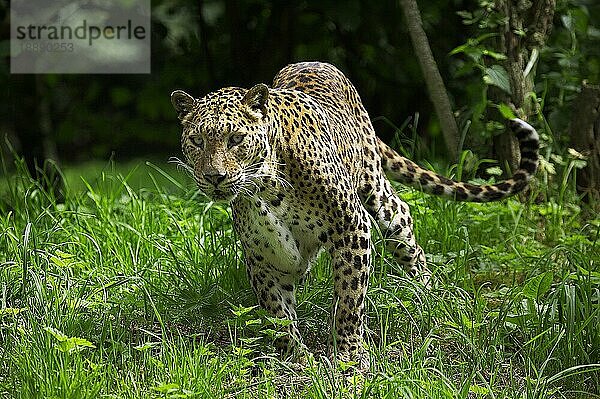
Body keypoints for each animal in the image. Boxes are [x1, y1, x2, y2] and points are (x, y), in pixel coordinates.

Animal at [170, 61, 540, 370]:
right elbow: (277, 310)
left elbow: (350, 299)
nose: (214, 177)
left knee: (404, 226)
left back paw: (427, 296)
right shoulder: (265, 255)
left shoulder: (351, 228)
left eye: (236, 139)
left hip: (378, 194)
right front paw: (296, 358)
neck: (267, 186)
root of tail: (318, 62)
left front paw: (348, 356)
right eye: (197, 141)